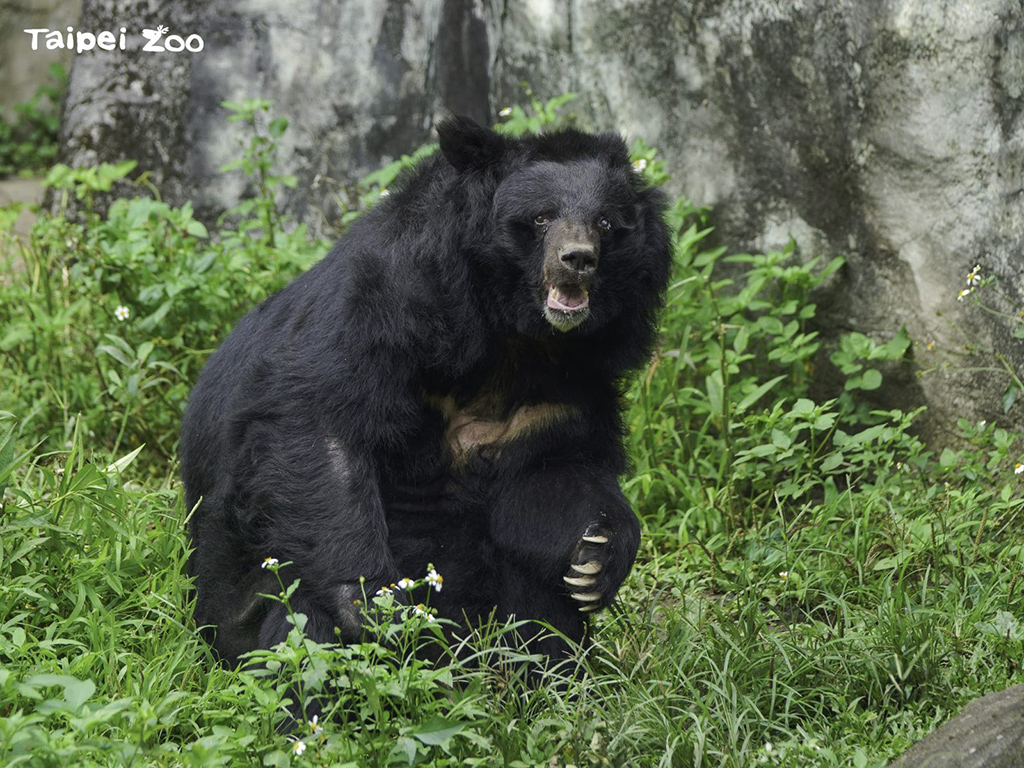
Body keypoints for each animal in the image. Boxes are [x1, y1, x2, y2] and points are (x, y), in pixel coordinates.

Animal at [180, 116, 672, 667]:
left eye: (606, 223)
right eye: (541, 218)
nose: (577, 260)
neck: (516, 333)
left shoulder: (570, 385)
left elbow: (555, 473)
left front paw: (597, 556)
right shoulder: (390, 303)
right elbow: (313, 417)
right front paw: (369, 602)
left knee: (542, 609)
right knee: (303, 625)